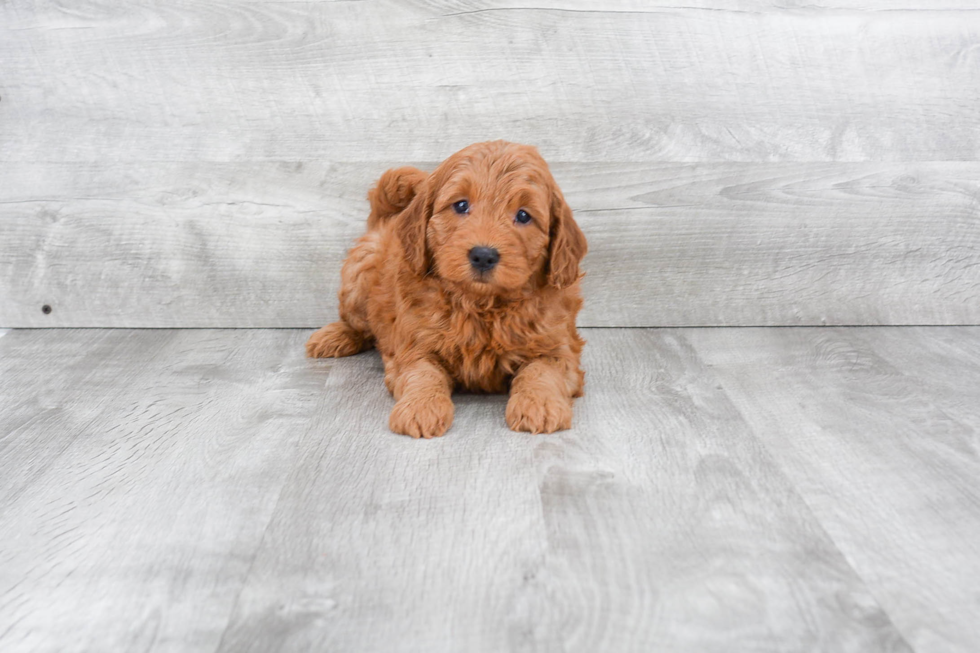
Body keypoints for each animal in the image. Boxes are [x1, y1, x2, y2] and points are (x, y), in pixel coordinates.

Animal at [306, 142, 584, 438]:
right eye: (461, 205)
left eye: (523, 215)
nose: (483, 255)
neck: (480, 304)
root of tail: (385, 221)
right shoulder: (414, 345)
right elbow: (423, 374)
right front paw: (421, 408)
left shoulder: (558, 347)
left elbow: (543, 371)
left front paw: (540, 404)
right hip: (359, 277)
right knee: (358, 323)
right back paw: (333, 337)